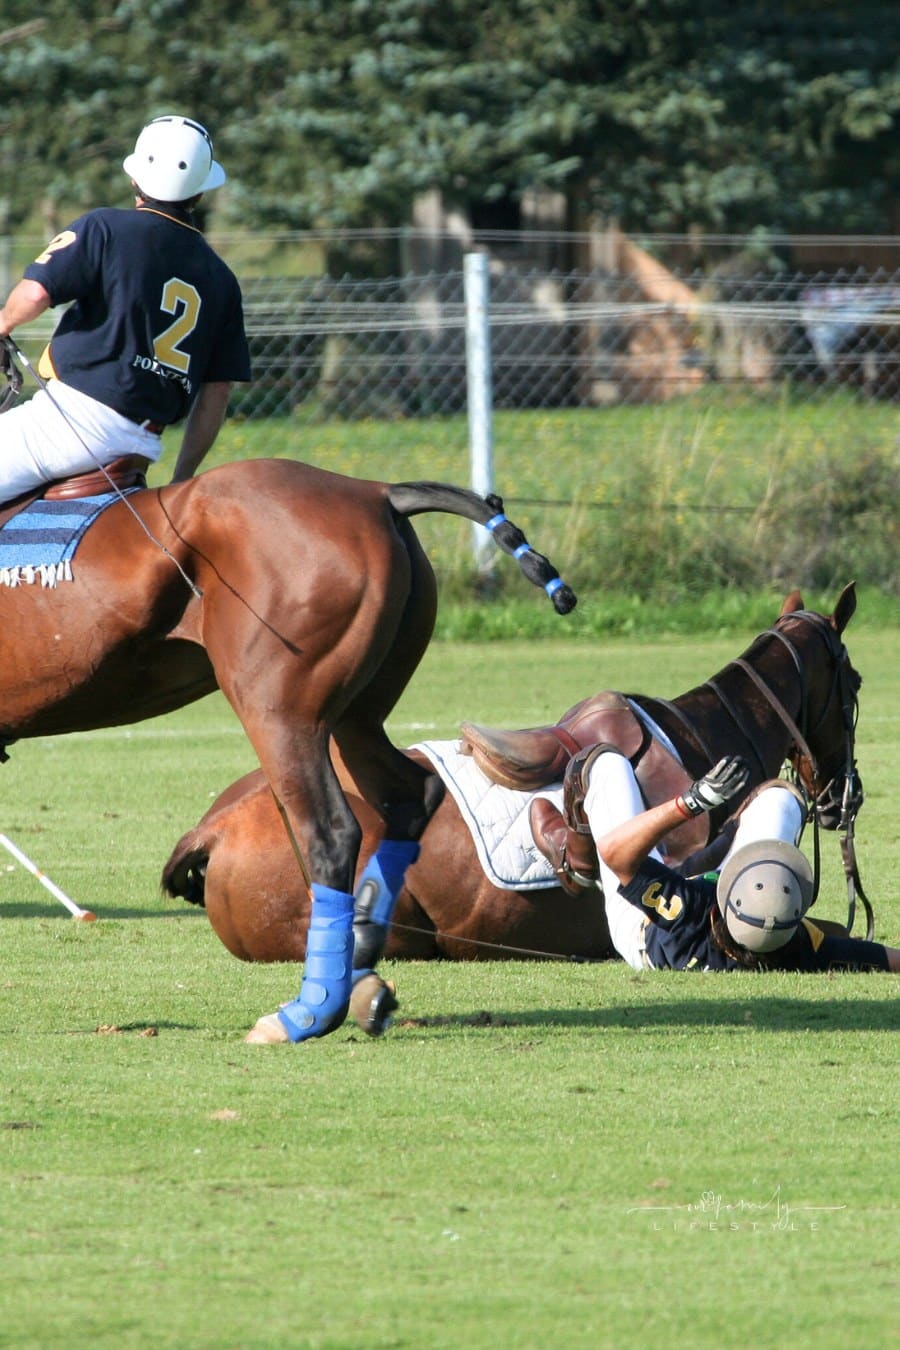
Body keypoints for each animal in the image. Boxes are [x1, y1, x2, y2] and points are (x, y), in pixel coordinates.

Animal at [0, 456, 576, 1042]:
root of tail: (375, 493)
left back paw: (308, 1011)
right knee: (409, 796)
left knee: (331, 833)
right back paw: (361, 962)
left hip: (279, 710)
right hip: (356, 716)